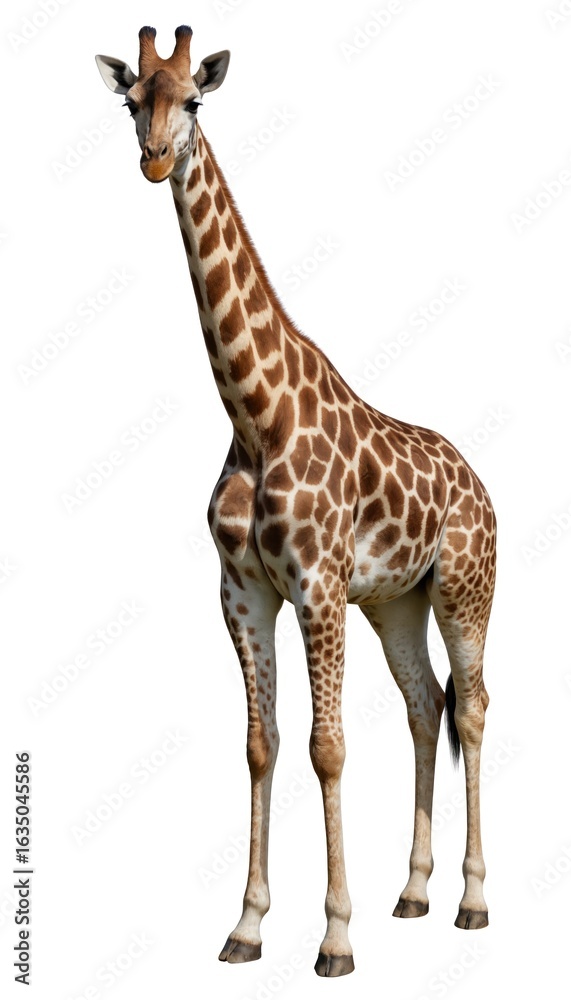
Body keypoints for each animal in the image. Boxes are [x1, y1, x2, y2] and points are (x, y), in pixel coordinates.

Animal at [96, 26, 496, 978]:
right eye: (131, 102)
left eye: (193, 101)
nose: (154, 160)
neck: (253, 412)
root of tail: (481, 483)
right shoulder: (242, 590)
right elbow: (261, 742)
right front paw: (246, 927)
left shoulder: (315, 586)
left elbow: (326, 745)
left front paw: (334, 938)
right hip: (396, 602)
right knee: (423, 705)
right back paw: (413, 892)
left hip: (465, 592)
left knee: (471, 709)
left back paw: (471, 902)